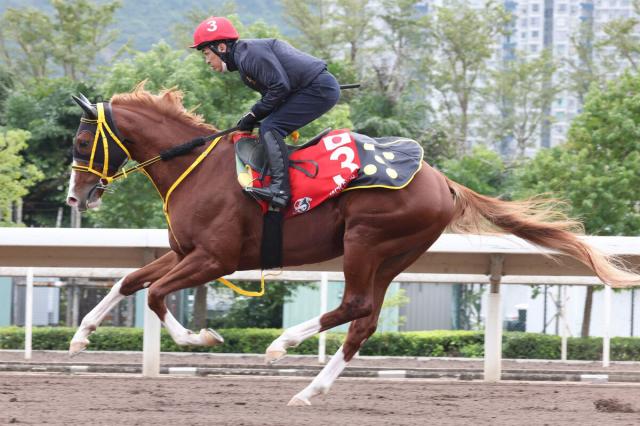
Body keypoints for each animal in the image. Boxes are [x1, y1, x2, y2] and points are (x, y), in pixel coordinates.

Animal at [67, 85, 636, 404]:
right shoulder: (186, 252)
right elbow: (132, 279)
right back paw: (309, 390)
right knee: (364, 320)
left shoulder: (215, 257)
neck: (197, 167)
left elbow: (157, 295)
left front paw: (202, 338)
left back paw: (282, 345)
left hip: (366, 240)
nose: (76, 196)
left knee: (354, 305)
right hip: (394, 255)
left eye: (81, 140)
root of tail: (444, 181)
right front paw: (82, 335)